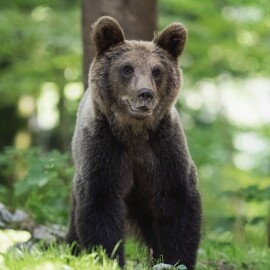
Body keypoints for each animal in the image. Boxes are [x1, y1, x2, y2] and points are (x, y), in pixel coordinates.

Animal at [66, 16, 202, 268]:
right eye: (127, 68)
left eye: (157, 70)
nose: (145, 93)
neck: (134, 134)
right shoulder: (104, 150)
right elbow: (100, 204)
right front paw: (108, 257)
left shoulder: (164, 150)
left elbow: (178, 202)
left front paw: (177, 258)